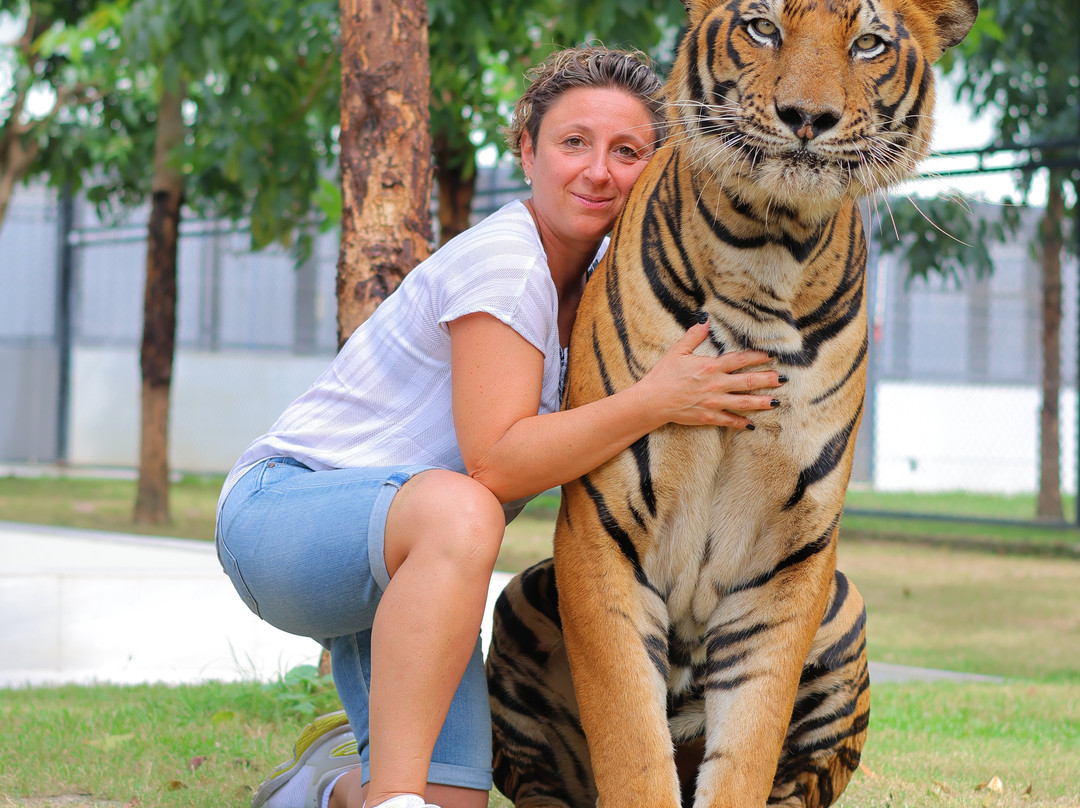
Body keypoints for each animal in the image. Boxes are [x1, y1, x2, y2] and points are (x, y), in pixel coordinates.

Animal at [486, 0, 978, 806]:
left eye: (868, 43)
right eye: (762, 28)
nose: (806, 117)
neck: (769, 246)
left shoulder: (789, 556)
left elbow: (748, 743)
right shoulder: (605, 532)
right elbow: (630, 741)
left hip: (843, 614)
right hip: (522, 603)